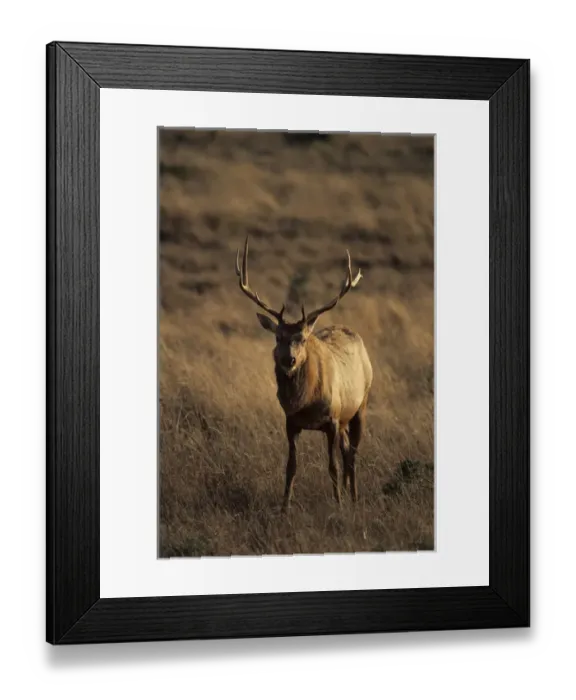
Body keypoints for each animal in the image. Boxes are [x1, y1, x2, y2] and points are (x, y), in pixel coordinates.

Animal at [235, 237, 373, 513]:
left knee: (352, 454)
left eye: (302, 338)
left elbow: (332, 466)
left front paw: (338, 505)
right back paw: (347, 493)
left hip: (360, 403)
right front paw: (284, 508)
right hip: (345, 418)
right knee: (346, 451)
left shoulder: (332, 419)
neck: (306, 401)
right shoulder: (291, 422)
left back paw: (353, 498)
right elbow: (291, 467)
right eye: (278, 337)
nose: (288, 360)